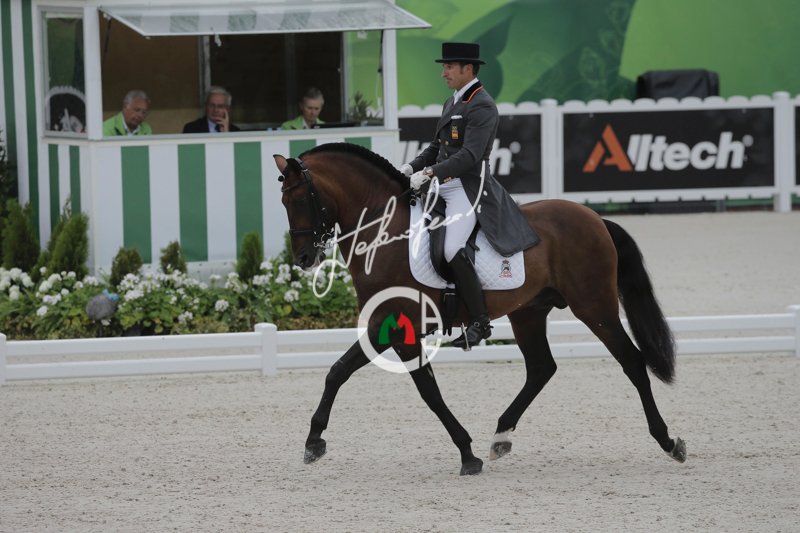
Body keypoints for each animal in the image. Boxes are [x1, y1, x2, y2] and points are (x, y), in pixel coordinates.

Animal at [273, 142, 686, 475]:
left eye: (301, 199)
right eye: (283, 202)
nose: (304, 259)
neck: (384, 230)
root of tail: (596, 218)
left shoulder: (394, 325)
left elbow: (421, 390)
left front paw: (466, 453)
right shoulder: (388, 325)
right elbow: (343, 373)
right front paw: (313, 442)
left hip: (594, 307)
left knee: (632, 362)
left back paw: (669, 442)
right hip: (529, 312)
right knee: (541, 369)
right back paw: (501, 436)